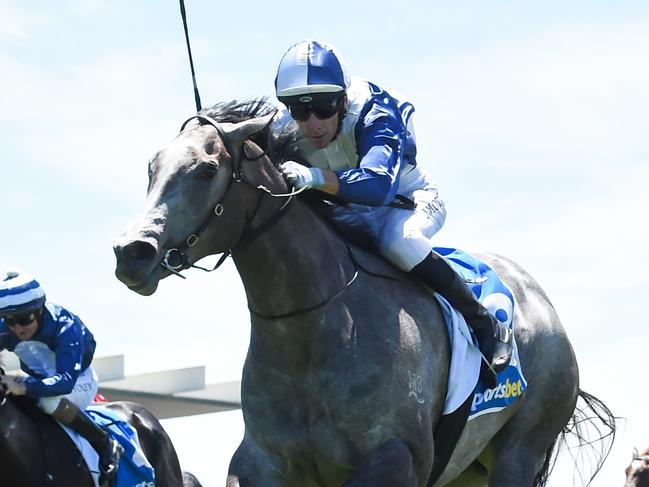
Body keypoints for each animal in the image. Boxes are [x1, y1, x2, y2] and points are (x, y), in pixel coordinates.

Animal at [114, 101, 616, 486]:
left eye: (206, 169)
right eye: (152, 168)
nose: (131, 252)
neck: (311, 335)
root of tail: (538, 299)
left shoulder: (396, 458)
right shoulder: (262, 462)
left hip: (519, 450)